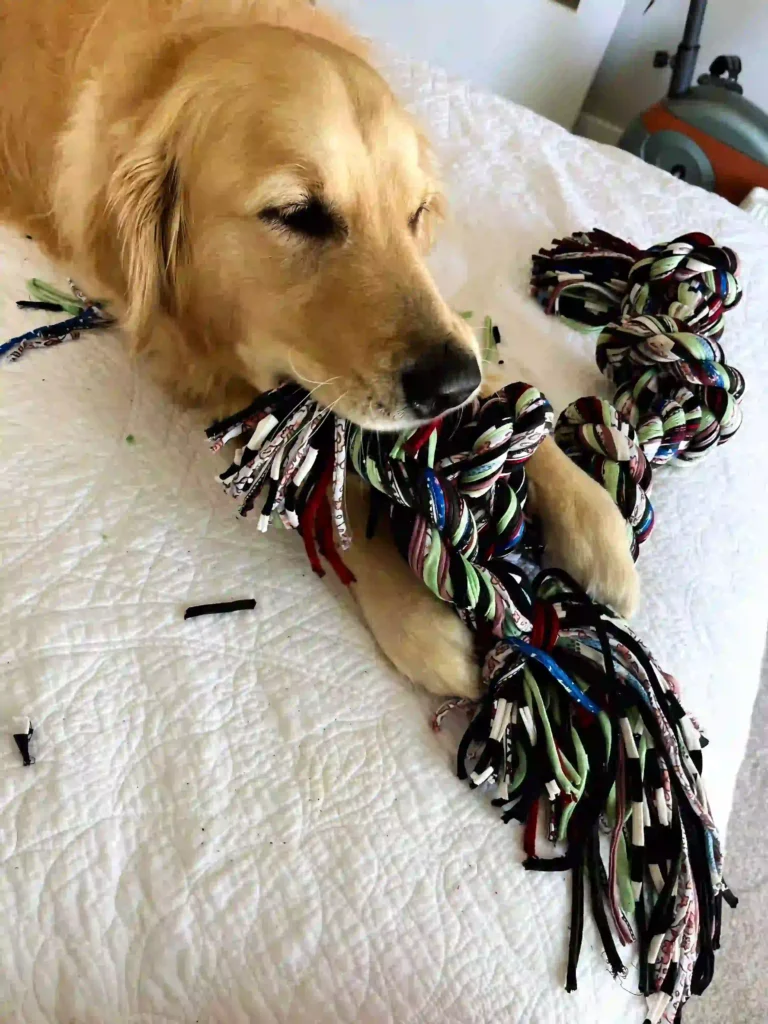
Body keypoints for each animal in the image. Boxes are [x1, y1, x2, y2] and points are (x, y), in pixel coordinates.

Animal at [0, 0, 638, 696]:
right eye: (298, 214)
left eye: (416, 215)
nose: (450, 387)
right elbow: (329, 489)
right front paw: (420, 621)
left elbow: (496, 379)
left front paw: (592, 519)